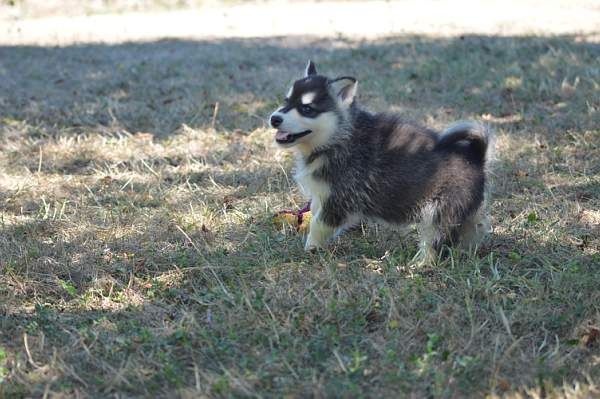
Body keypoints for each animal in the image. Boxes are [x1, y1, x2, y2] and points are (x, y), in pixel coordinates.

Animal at [270, 61, 492, 264]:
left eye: (306, 108)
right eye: (287, 101)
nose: (274, 118)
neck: (338, 137)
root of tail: (475, 157)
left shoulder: (340, 200)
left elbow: (319, 224)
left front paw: (310, 248)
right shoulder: (323, 194)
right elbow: (315, 212)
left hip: (440, 211)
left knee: (437, 240)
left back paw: (420, 264)